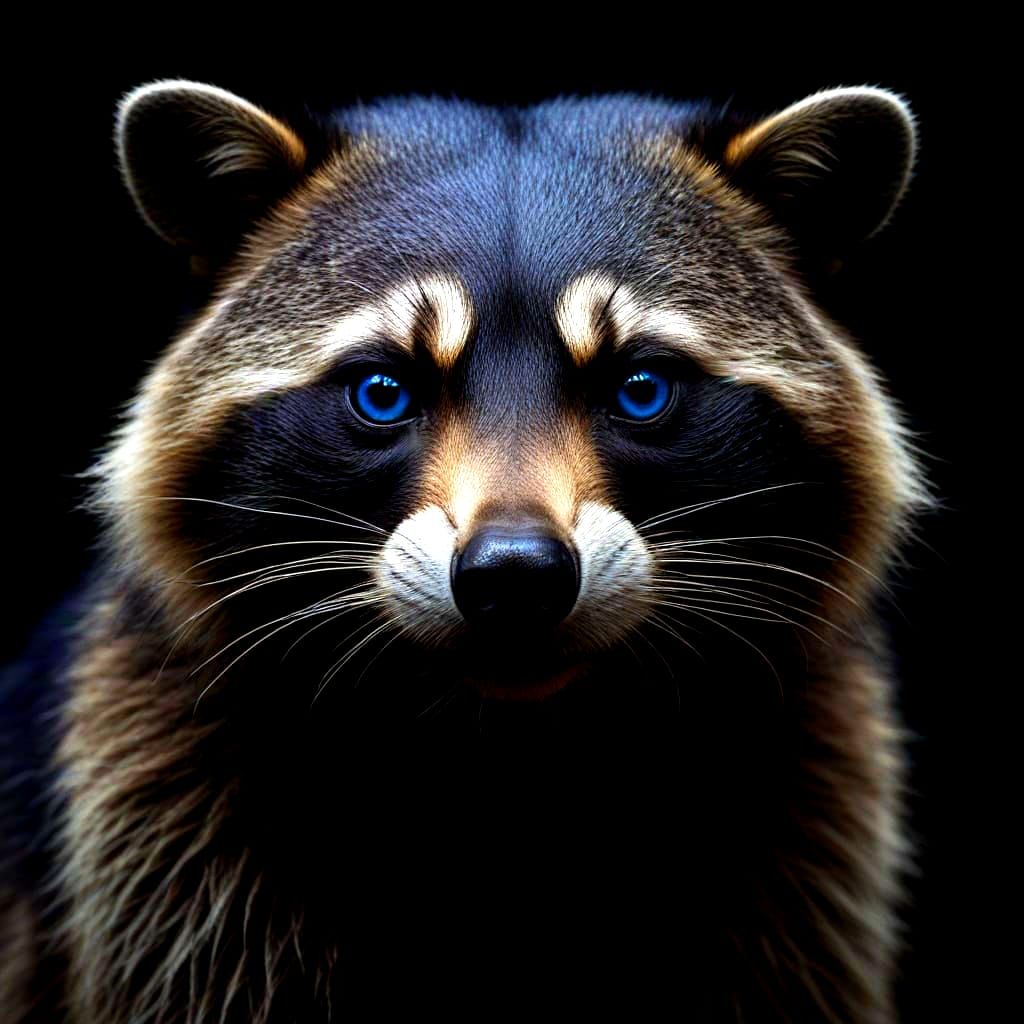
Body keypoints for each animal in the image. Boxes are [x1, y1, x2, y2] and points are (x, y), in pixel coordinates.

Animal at [0, 81, 926, 1021]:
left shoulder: (813, 842)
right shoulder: (164, 844)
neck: (499, 757)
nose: (516, 574)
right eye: (382, 392)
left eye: (641, 389)